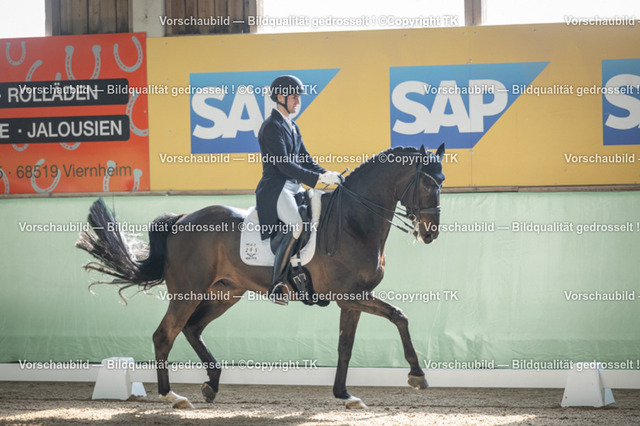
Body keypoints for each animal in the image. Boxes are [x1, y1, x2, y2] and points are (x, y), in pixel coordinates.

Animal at [76, 144, 445, 409]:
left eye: (442, 182)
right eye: (428, 183)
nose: (431, 234)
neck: (355, 220)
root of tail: (182, 218)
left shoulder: (351, 300)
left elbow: (345, 346)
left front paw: (345, 395)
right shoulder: (351, 295)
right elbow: (400, 316)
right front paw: (417, 376)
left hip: (225, 293)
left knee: (193, 329)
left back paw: (211, 384)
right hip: (188, 291)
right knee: (165, 334)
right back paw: (173, 397)